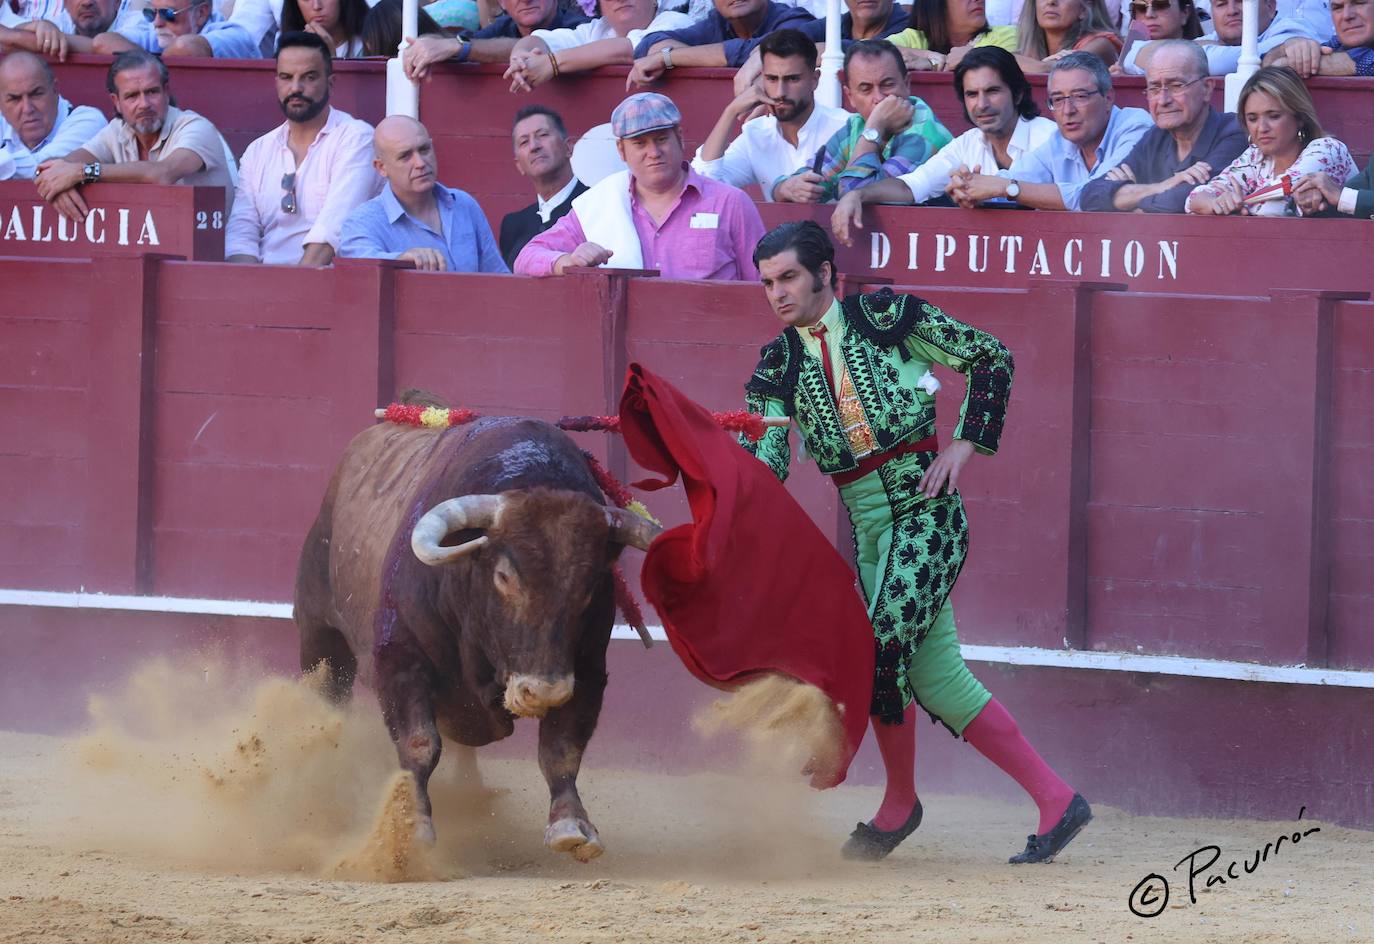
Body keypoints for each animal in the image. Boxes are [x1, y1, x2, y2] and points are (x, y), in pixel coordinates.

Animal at [292, 401, 656, 862]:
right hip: (321, 637)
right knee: (328, 699)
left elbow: (562, 749)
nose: (543, 692)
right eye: (503, 576)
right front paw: (414, 826)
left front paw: (571, 825)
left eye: (590, 586)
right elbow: (418, 743)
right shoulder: (399, 660)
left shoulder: (587, 671)